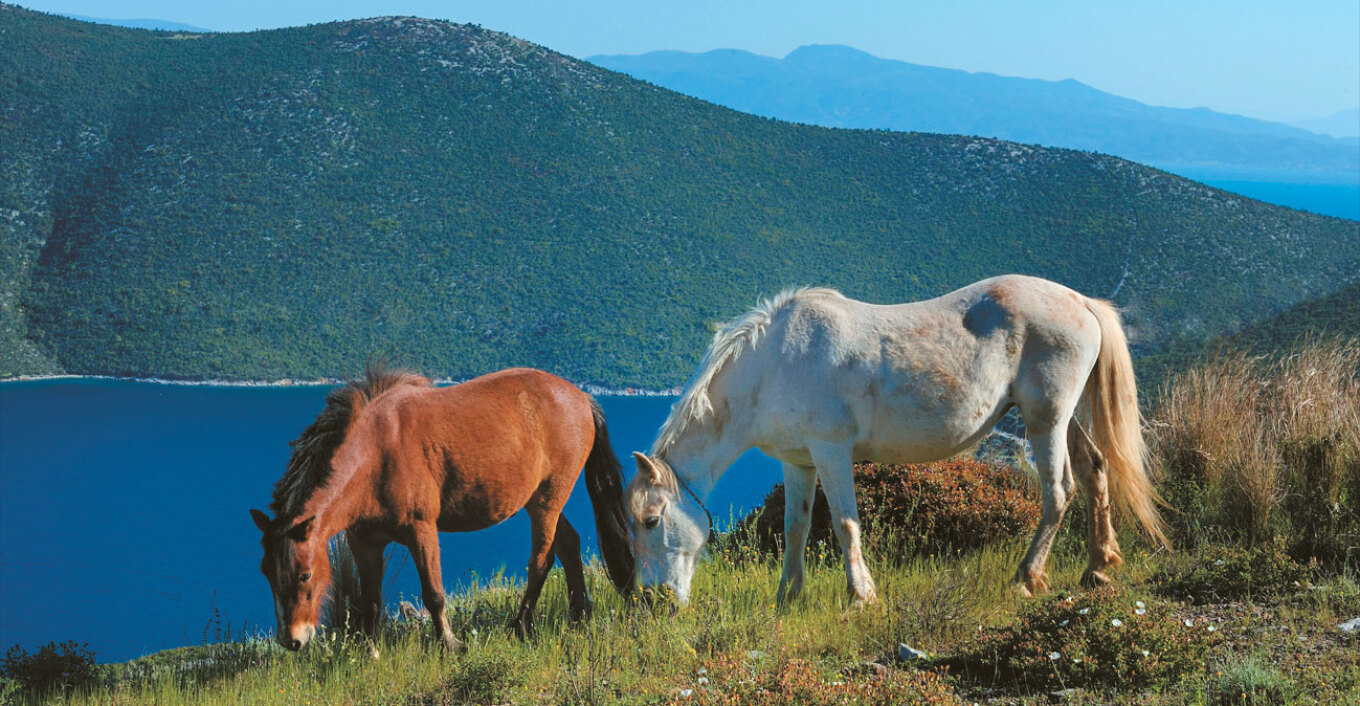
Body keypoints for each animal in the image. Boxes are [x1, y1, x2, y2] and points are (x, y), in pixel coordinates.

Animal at [248, 364, 631, 652]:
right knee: (569, 543)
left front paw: (450, 644)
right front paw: (370, 652)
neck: (376, 454)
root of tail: (582, 398)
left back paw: (521, 625)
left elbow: (433, 593)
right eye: (267, 572)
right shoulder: (364, 542)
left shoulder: (421, 530)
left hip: (547, 499)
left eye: (304, 574)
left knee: (542, 558)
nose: (292, 640)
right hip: (538, 499)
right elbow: (370, 600)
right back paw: (579, 614)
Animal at [625, 273, 1169, 603]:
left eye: (652, 520)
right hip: (1061, 416)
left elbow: (844, 524)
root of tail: (1081, 301)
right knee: (1095, 471)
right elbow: (796, 528)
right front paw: (788, 598)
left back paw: (1026, 578)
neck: (774, 362)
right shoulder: (798, 461)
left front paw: (860, 595)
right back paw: (1098, 568)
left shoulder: (831, 451)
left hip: (1046, 420)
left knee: (1058, 492)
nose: (651, 602)